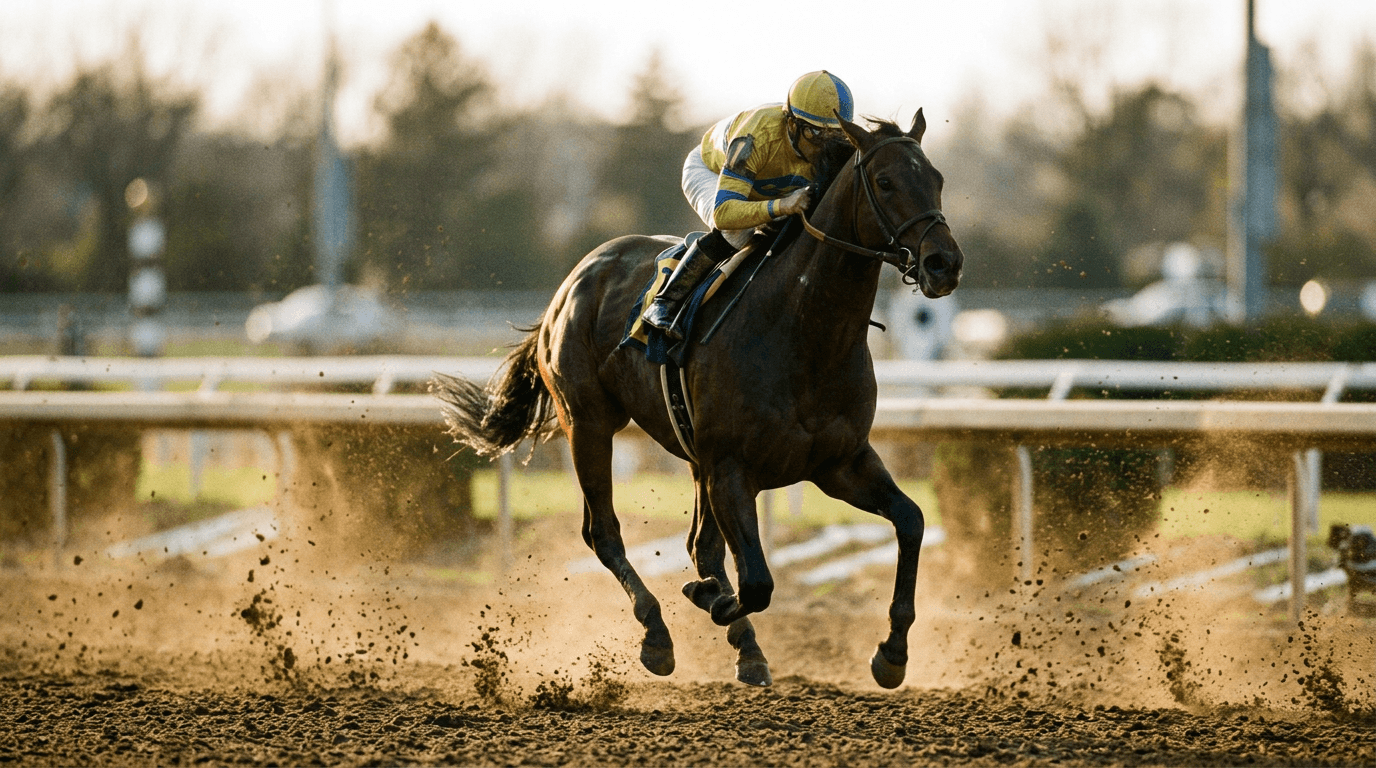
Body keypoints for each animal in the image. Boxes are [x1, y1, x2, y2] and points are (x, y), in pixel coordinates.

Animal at [433, 111, 963, 688]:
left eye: (937, 178)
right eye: (885, 182)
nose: (944, 263)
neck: (804, 330)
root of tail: (576, 276)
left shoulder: (838, 462)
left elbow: (911, 519)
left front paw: (892, 653)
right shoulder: (732, 467)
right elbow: (756, 583)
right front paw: (706, 600)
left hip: (691, 453)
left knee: (699, 545)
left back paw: (743, 646)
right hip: (590, 424)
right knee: (605, 534)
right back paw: (658, 635)